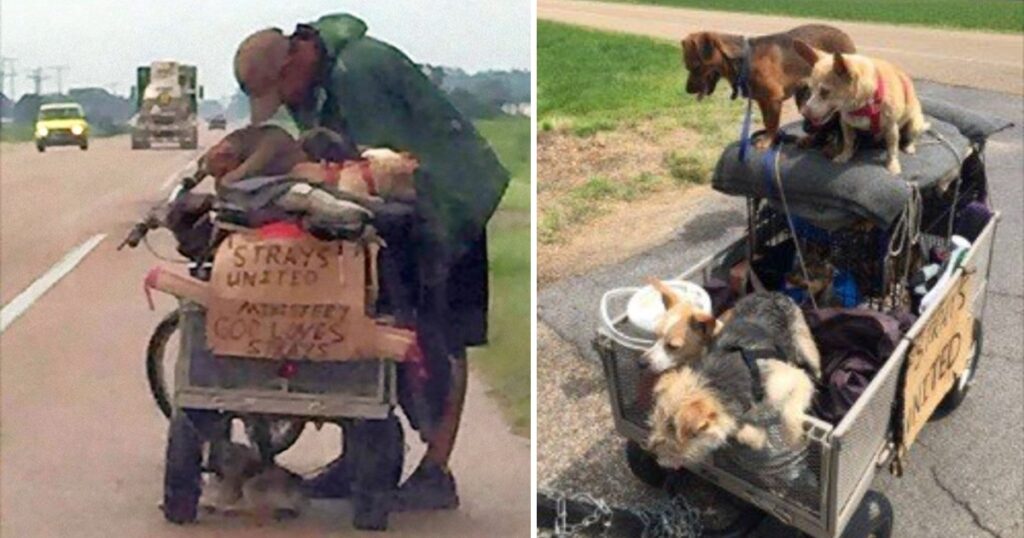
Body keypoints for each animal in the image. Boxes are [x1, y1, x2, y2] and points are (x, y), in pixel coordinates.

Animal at [679, 24, 856, 147]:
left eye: (695, 67)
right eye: (687, 67)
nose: (687, 90)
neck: (744, 60)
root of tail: (845, 35)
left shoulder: (773, 100)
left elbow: (771, 123)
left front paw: (767, 141)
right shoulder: (762, 100)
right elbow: (767, 122)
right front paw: (772, 138)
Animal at [790, 40, 929, 174]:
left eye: (825, 92)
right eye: (810, 91)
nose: (804, 112)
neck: (863, 105)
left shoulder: (891, 128)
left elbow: (892, 149)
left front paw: (892, 165)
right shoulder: (846, 124)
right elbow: (848, 142)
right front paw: (844, 156)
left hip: (914, 125)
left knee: (911, 138)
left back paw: (909, 147)